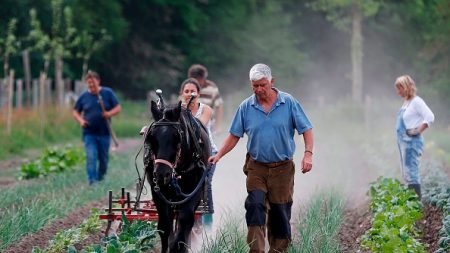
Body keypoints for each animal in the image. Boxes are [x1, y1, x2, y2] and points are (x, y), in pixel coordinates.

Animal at [143, 100, 212, 252]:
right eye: (151, 137)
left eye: (176, 137)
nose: (162, 174)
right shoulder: (158, 191)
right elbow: (164, 226)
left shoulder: (194, 190)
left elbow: (185, 221)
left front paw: (178, 247)